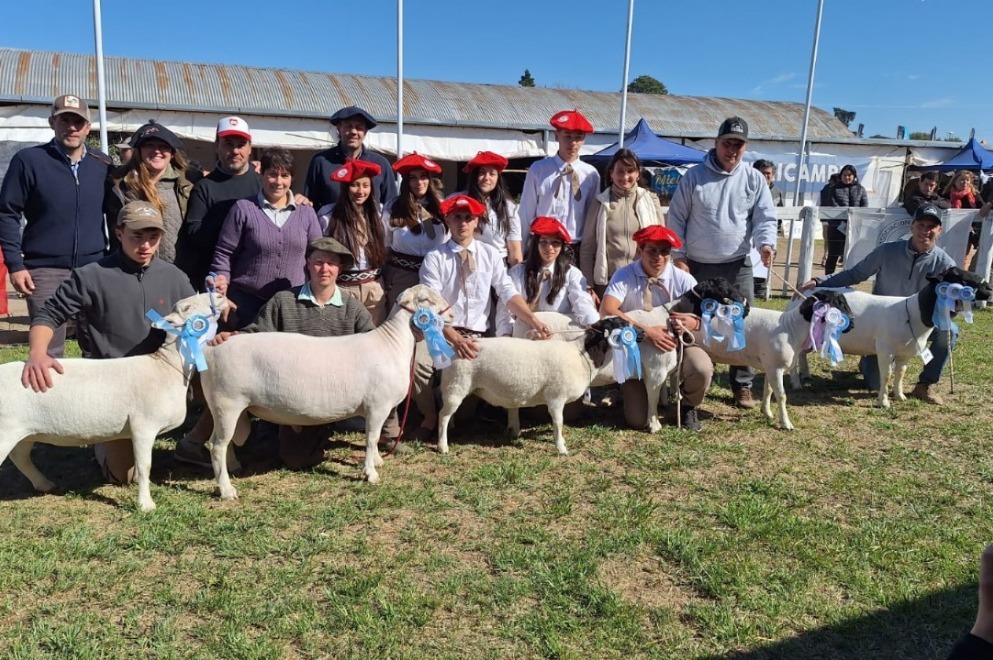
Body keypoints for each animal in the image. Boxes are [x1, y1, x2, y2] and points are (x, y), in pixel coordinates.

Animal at [0, 292, 224, 512]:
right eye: (187, 308)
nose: (220, 295)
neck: (166, 366)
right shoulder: (143, 426)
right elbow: (144, 466)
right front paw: (146, 505)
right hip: (6, 431)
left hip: (25, 432)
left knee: (20, 457)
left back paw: (44, 484)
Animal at [203, 284, 452, 500]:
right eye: (424, 299)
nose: (451, 315)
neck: (392, 343)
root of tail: (209, 351)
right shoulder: (377, 406)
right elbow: (372, 438)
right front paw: (371, 474)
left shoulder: (376, 409)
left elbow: (373, 438)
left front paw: (377, 461)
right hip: (227, 403)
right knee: (216, 446)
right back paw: (226, 490)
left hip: (223, 408)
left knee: (221, 443)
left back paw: (232, 468)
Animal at [440, 318, 624, 454]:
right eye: (620, 324)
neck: (582, 354)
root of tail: (453, 350)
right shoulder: (556, 397)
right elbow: (559, 422)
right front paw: (561, 448)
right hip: (456, 384)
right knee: (443, 416)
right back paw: (443, 446)